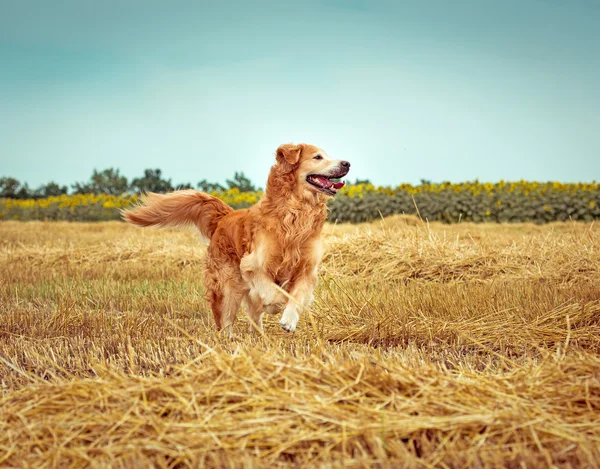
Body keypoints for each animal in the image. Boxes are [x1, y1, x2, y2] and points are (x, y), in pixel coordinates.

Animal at [122, 142, 350, 332]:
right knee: (225, 321)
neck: (294, 214)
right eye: (318, 157)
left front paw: (289, 319)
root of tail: (224, 216)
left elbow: (296, 296)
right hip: (228, 287)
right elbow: (277, 293)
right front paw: (276, 305)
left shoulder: (306, 270)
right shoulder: (253, 265)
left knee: (253, 318)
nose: (347, 163)